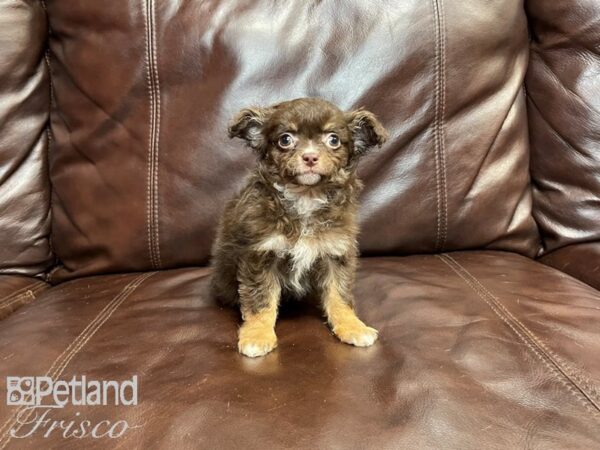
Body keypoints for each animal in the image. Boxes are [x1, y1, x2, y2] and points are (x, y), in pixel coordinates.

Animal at [211, 96, 390, 356]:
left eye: (333, 140)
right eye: (285, 139)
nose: (310, 157)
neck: (305, 197)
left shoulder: (336, 252)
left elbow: (339, 295)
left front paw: (352, 326)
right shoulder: (259, 255)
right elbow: (260, 300)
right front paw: (257, 334)